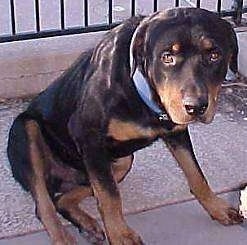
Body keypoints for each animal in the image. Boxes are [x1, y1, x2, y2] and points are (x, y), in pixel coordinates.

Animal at [7, 7, 243, 245]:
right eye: (167, 57)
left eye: (214, 55)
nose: (195, 107)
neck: (141, 89)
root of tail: (62, 177)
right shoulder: (89, 136)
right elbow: (110, 196)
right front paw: (121, 235)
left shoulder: (176, 133)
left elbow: (196, 174)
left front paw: (217, 208)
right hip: (26, 130)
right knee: (44, 206)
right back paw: (64, 237)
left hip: (121, 162)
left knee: (64, 198)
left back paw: (87, 224)